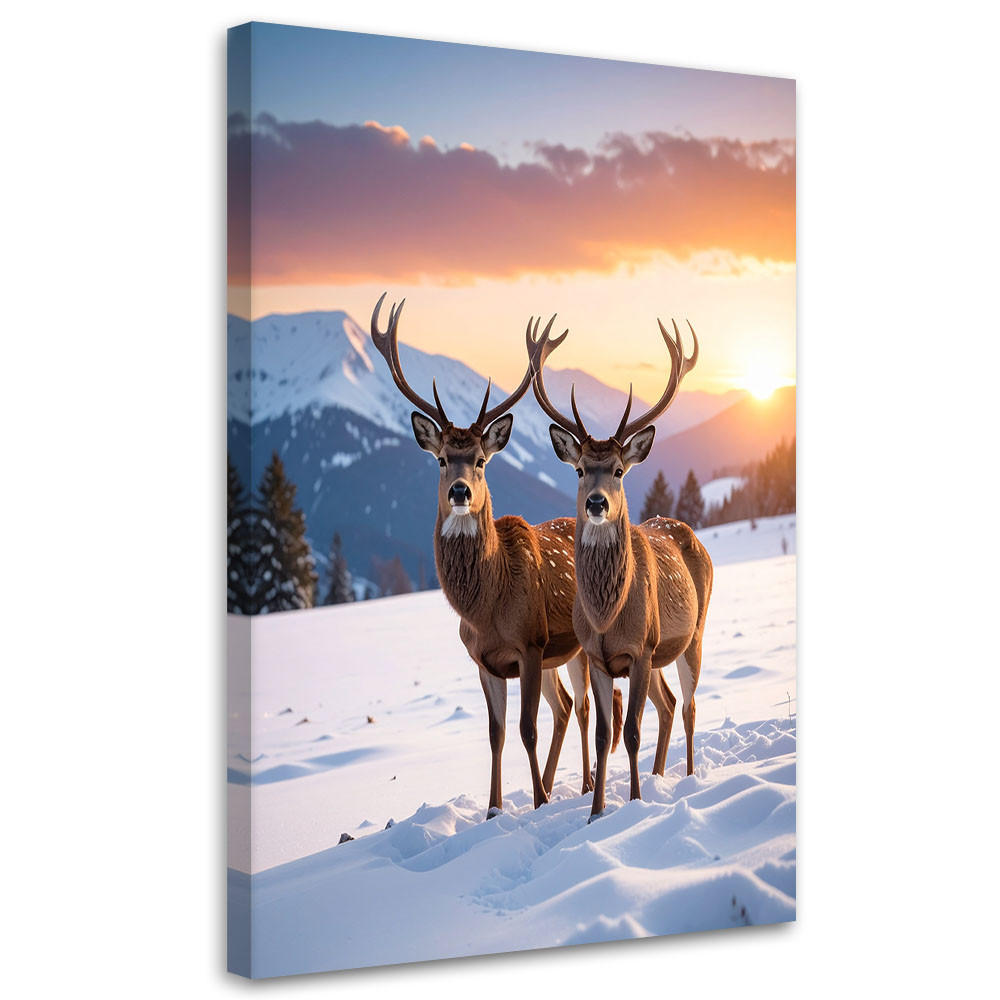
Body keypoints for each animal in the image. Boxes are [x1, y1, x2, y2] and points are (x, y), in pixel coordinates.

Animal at [369, 294, 621, 817]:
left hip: (570, 648)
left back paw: (582, 783)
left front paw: (540, 800)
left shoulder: (529, 643)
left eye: (482, 461)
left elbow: (526, 728)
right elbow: (495, 733)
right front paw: (493, 808)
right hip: (559, 655)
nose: (461, 491)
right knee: (566, 706)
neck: (486, 608)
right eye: (442, 458)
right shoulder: (483, 659)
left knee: (581, 707)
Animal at [528, 316, 713, 822]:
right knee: (669, 704)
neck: (609, 616)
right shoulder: (597, 656)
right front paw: (596, 812)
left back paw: (687, 777)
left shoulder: (642, 647)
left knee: (688, 706)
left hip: (692, 635)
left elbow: (629, 732)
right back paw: (658, 774)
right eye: (578, 469)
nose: (596, 503)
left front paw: (631, 803)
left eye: (617, 469)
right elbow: (603, 734)